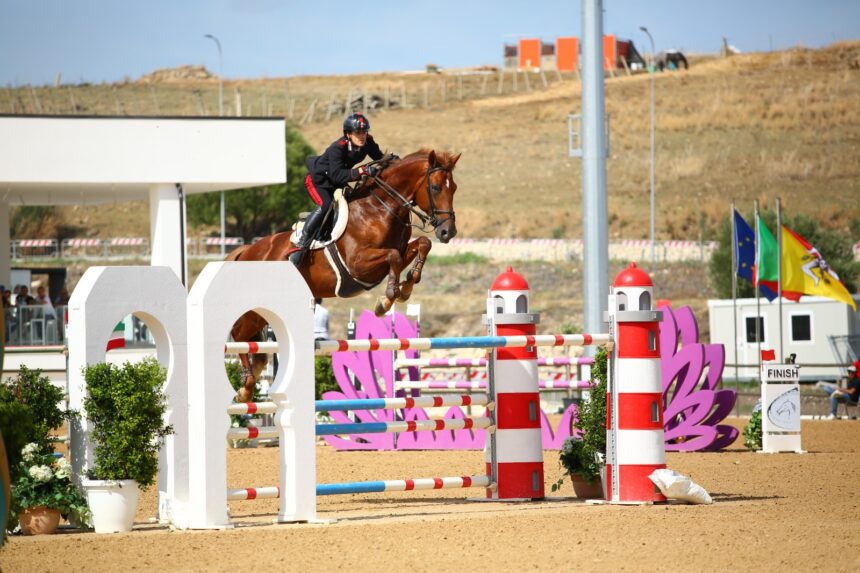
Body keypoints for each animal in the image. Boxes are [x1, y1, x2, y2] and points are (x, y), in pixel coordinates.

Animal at [225, 149, 460, 398]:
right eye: (435, 187)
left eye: (453, 187)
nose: (448, 232)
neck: (380, 209)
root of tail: (246, 250)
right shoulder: (358, 264)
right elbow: (394, 257)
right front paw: (387, 300)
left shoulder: (395, 253)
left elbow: (423, 244)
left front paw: (406, 286)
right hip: (255, 308)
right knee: (239, 336)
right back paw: (246, 387)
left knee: (255, 346)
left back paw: (248, 384)